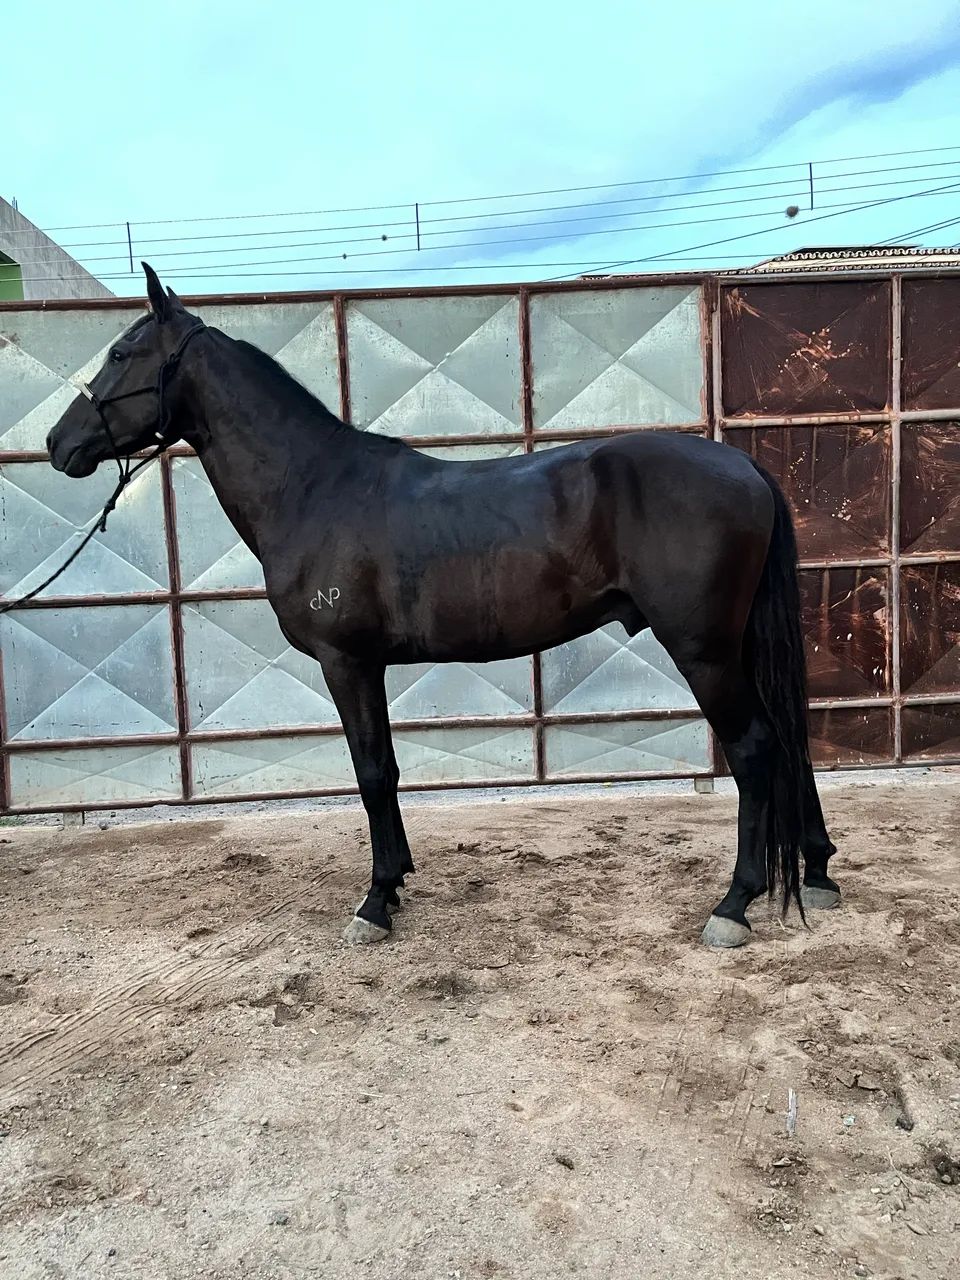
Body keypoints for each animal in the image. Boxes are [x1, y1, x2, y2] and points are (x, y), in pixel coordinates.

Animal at [46, 263, 841, 949]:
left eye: (121, 352)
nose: (58, 443)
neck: (313, 488)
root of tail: (744, 467)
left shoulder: (346, 663)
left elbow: (372, 773)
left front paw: (373, 904)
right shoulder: (367, 667)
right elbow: (389, 770)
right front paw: (395, 882)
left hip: (702, 649)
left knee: (755, 748)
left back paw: (734, 905)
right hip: (736, 645)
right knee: (789, 739)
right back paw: (819, 873)